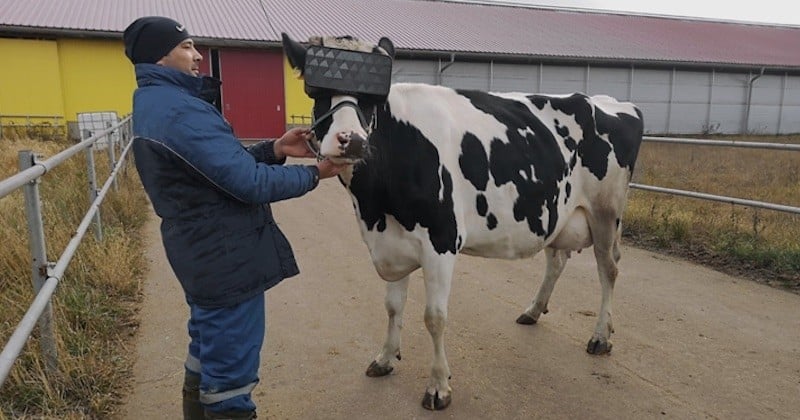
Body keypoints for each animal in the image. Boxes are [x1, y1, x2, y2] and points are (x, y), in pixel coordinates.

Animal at [282, 32, 644, 410]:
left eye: (373, 100)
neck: (375, 207)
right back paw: (533, 310)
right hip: (557, 211)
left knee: (609, 269)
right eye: (317, 93)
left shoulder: (441, 241)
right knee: (557, 259)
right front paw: (385, 358)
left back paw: (600, 337)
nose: (351, 140)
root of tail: (611, 102)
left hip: (606, 212)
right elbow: (393, 307)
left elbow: (434, 317)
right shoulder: (392, 242)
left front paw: (438, 386)